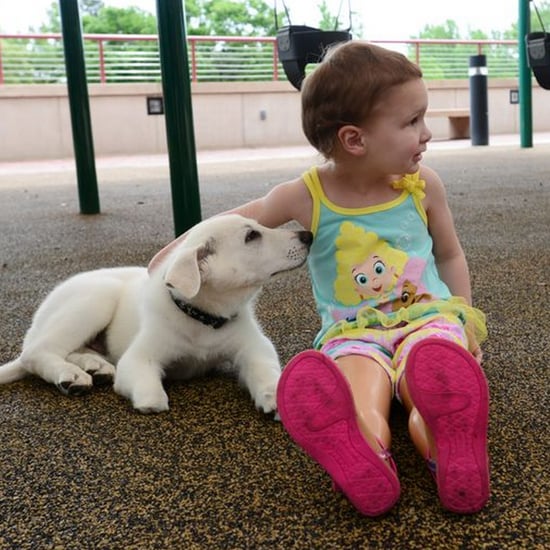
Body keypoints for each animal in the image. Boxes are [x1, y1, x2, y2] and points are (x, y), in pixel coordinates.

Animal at [0, 216, 312, 414]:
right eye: (251, 236)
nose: (307, 235)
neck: (203, 320)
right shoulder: (139, 357)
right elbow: (145, 381)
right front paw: (151, 400)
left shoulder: (255, 346)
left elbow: (264, 368)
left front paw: (273, 394)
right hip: (97, 298)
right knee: (36, 353)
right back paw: (71, 375)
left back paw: (94, 367)